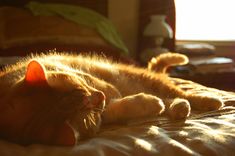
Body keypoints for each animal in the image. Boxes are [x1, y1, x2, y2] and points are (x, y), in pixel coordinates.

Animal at [0, 53, 223, 146]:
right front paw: (148, 104)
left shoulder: (91, 79)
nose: (101, 96)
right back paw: (177, 108)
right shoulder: (104, 113)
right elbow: (118, 108)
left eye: (79, 85)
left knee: (179, 94)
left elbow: (113, 93)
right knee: (169, 99)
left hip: (143, 79)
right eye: (88, 113)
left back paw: (208, 101)